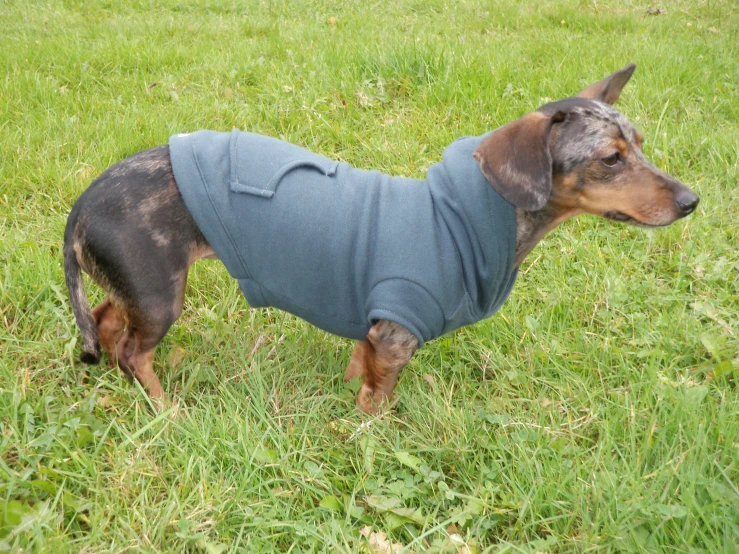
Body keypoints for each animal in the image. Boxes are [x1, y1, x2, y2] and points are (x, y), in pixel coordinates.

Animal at [63, 63, 700, 410]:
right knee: (132, 351)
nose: (691, 201)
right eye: (611, 159)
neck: (464, 218)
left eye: (640, 144)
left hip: (137, 289)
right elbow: (378, 402)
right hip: (160, 293)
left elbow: (357, 373)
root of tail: (82, 209)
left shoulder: (373, 330)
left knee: (106, 321)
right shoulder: (397, 332)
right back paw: (164, 408)